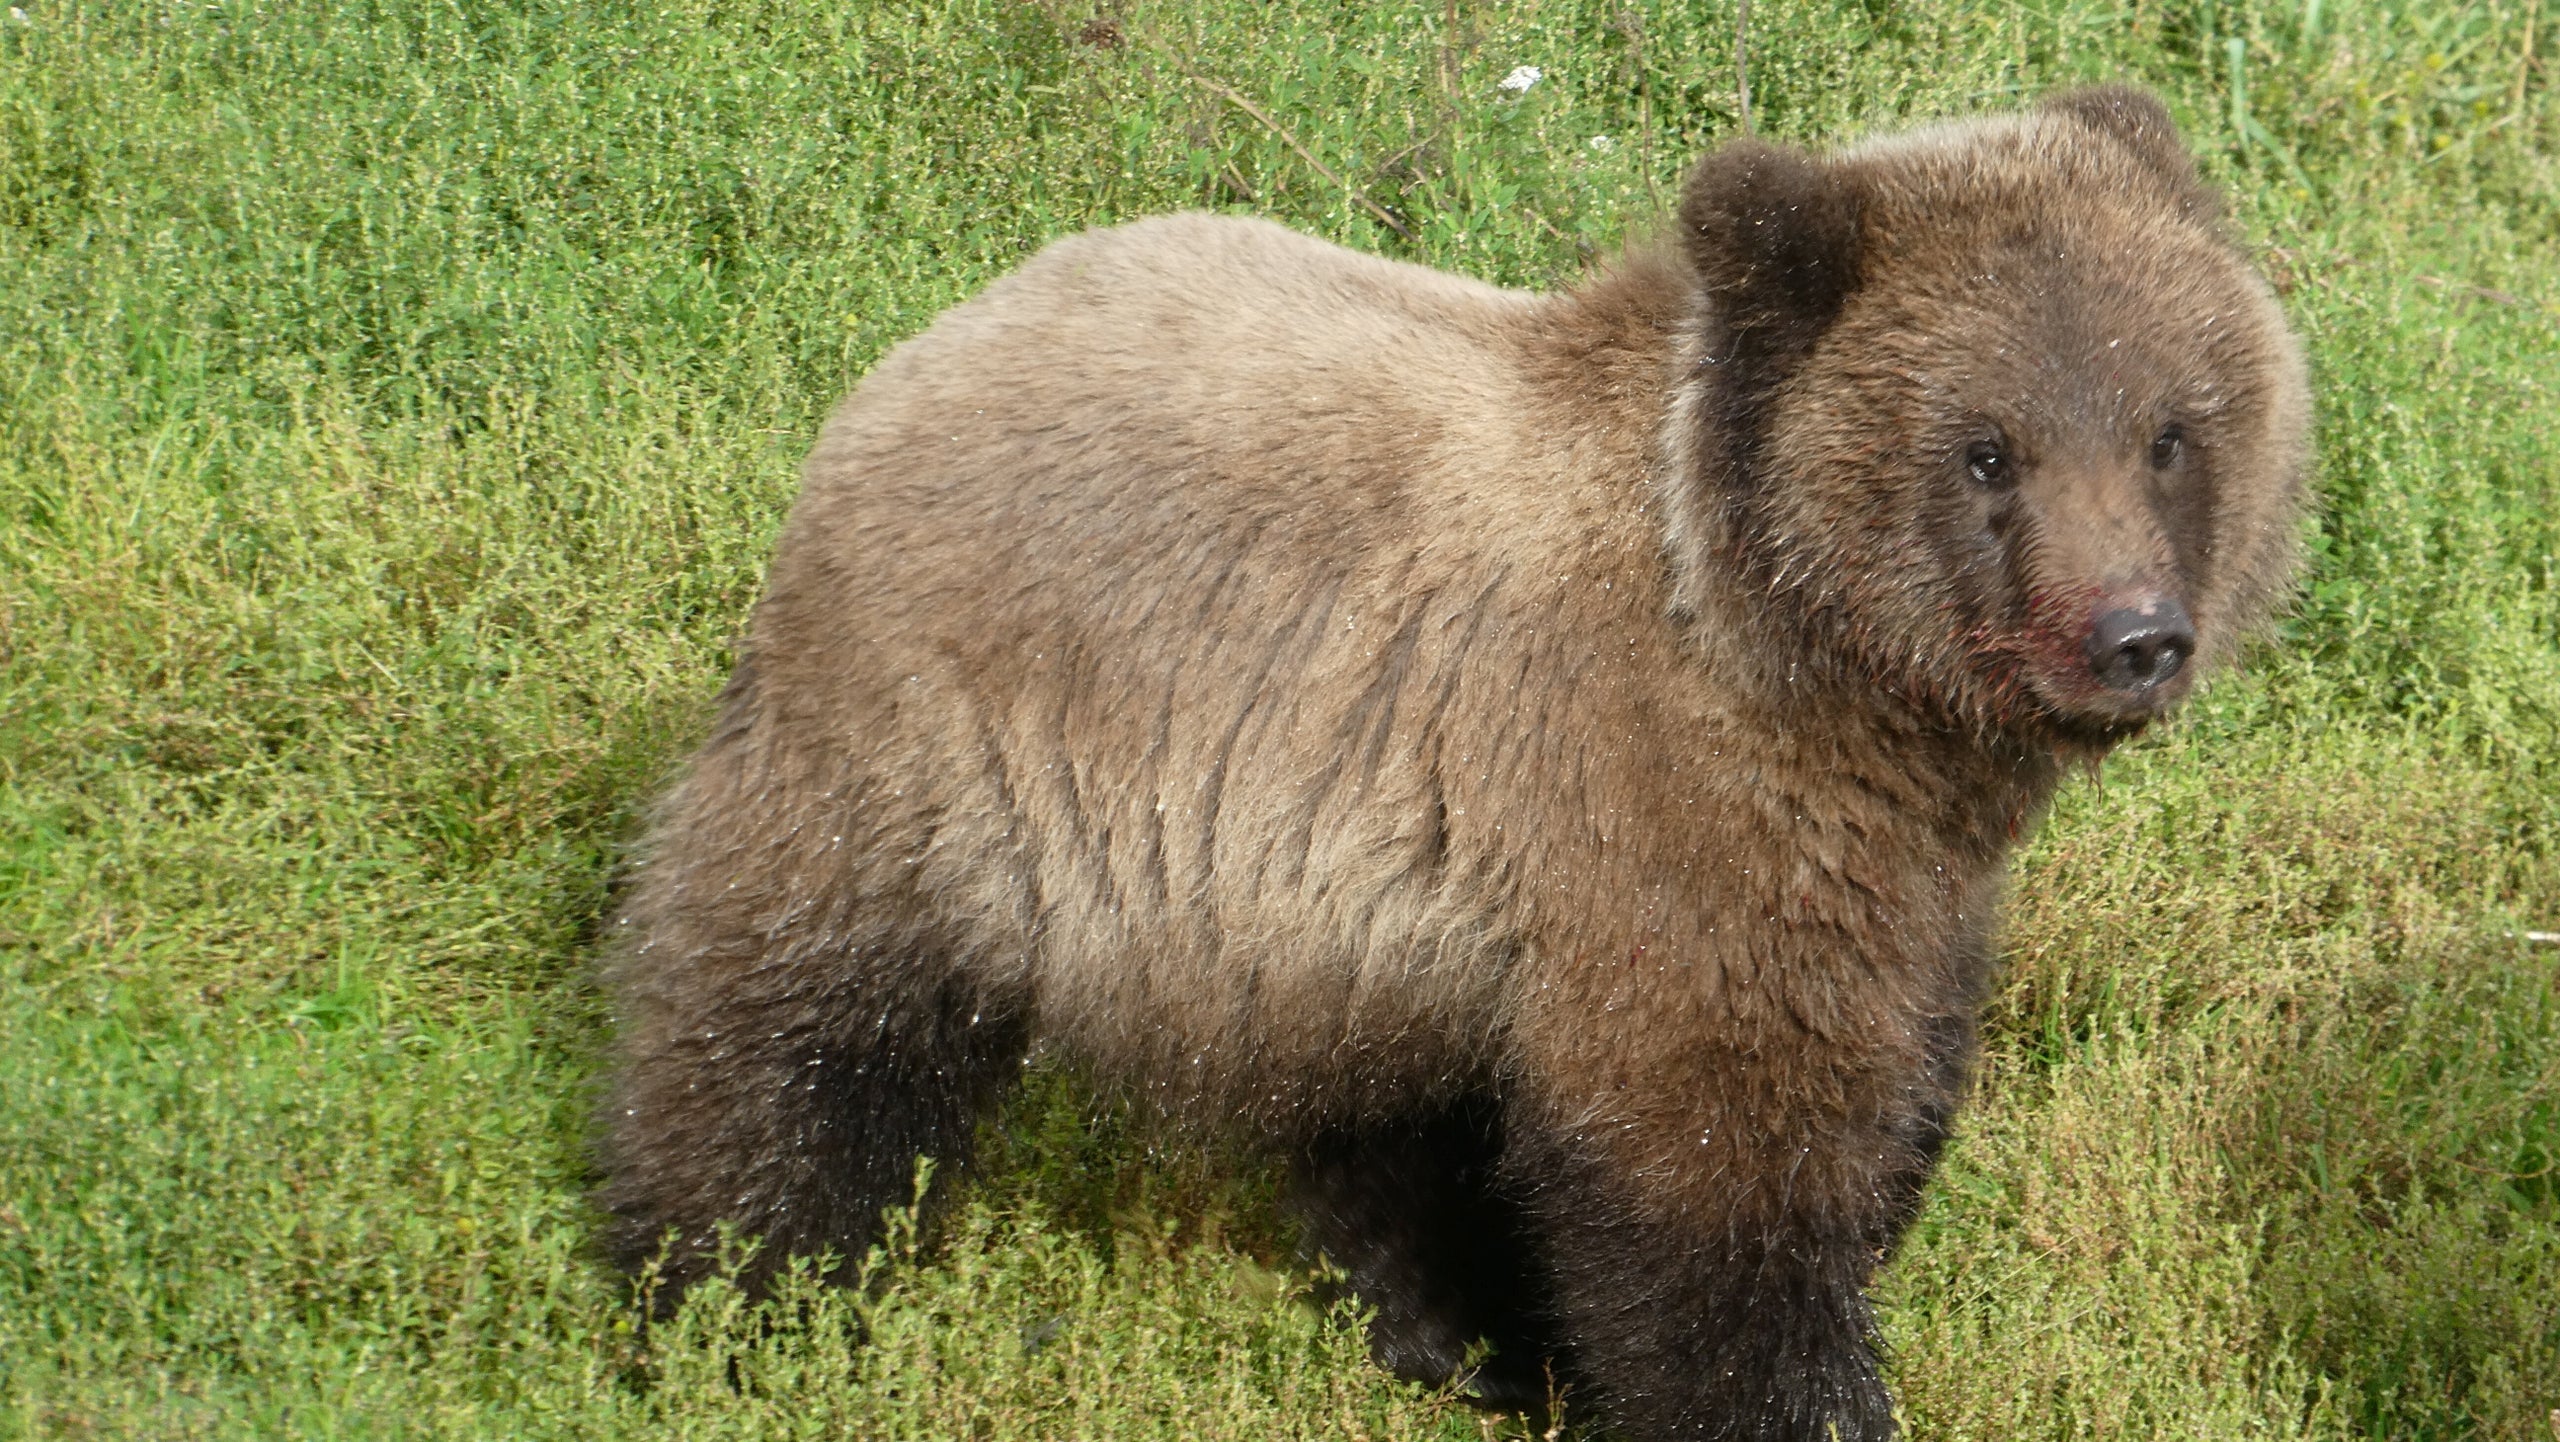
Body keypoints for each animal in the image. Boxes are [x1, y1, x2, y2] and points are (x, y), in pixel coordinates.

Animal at [604, 84, 2324, 1434]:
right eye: (1986, 451)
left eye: (2171, 428)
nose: (2135, 637)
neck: (1826, 682)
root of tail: (917, 349)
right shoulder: (1655, 815)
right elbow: (1717, 1169)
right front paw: (1785, 1393)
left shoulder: (1890, 880)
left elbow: (1881, 1093)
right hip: (938, 746)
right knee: (791, 1033)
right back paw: (724, 1304)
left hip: (1319, 916)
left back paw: (1460, 1332)